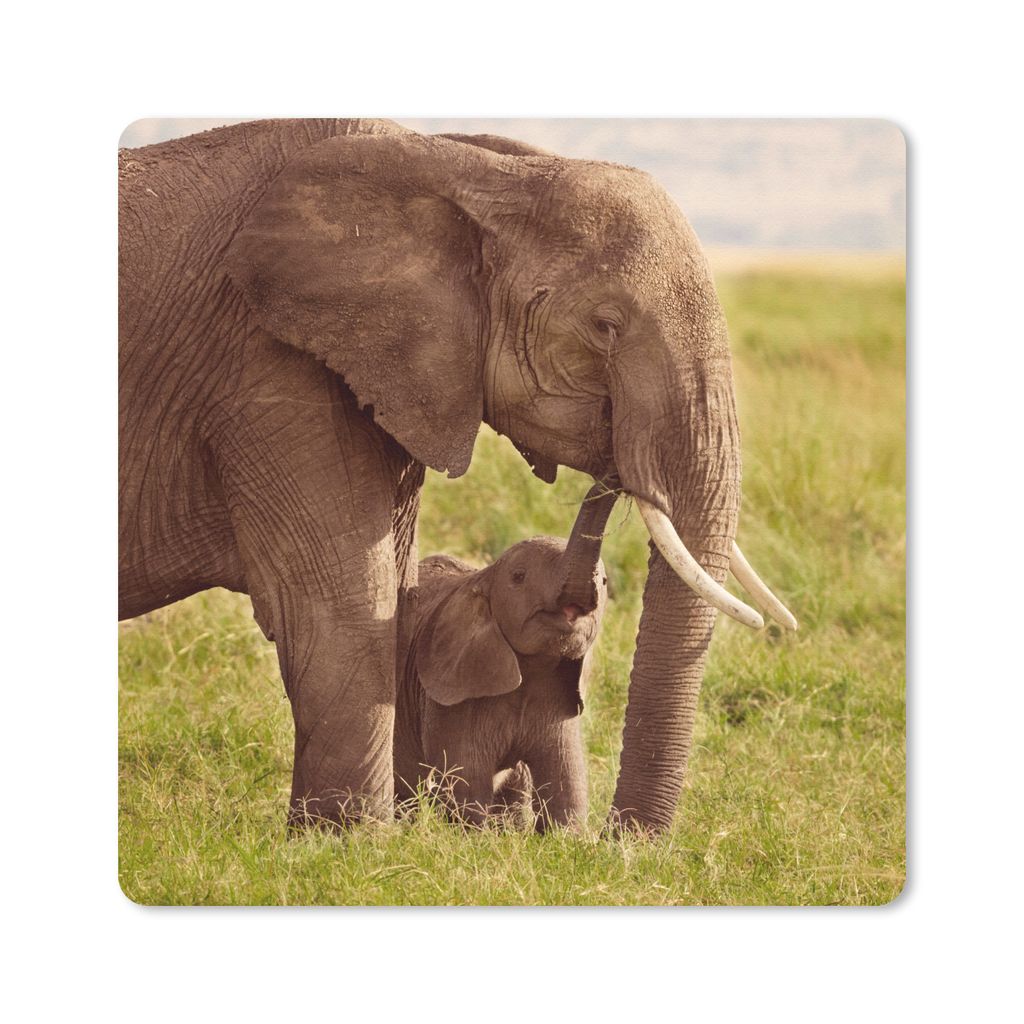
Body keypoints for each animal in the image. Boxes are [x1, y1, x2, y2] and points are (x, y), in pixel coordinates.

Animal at [393, 483, 616, 830]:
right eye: (519, 577)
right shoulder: (452, 698)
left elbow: (566, 782)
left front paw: (566, 837)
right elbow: (467, 780)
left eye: (604, 583)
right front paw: (473, 835)